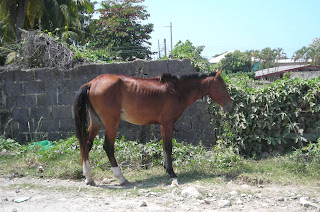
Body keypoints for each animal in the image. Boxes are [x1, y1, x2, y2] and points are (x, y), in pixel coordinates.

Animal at [72, 70, 232, 186]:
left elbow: (164, 147)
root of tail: (92, 83)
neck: (176, 91)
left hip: (97, 121)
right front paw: (172, 173)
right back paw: (121, 178)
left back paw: (89, 177)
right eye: (223, 86)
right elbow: (168, 147)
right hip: (111, 122)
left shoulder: (162, 125)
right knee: (108, 147)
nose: (230, 106)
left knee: (86, 144)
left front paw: (166, 169)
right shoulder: (168, 124)